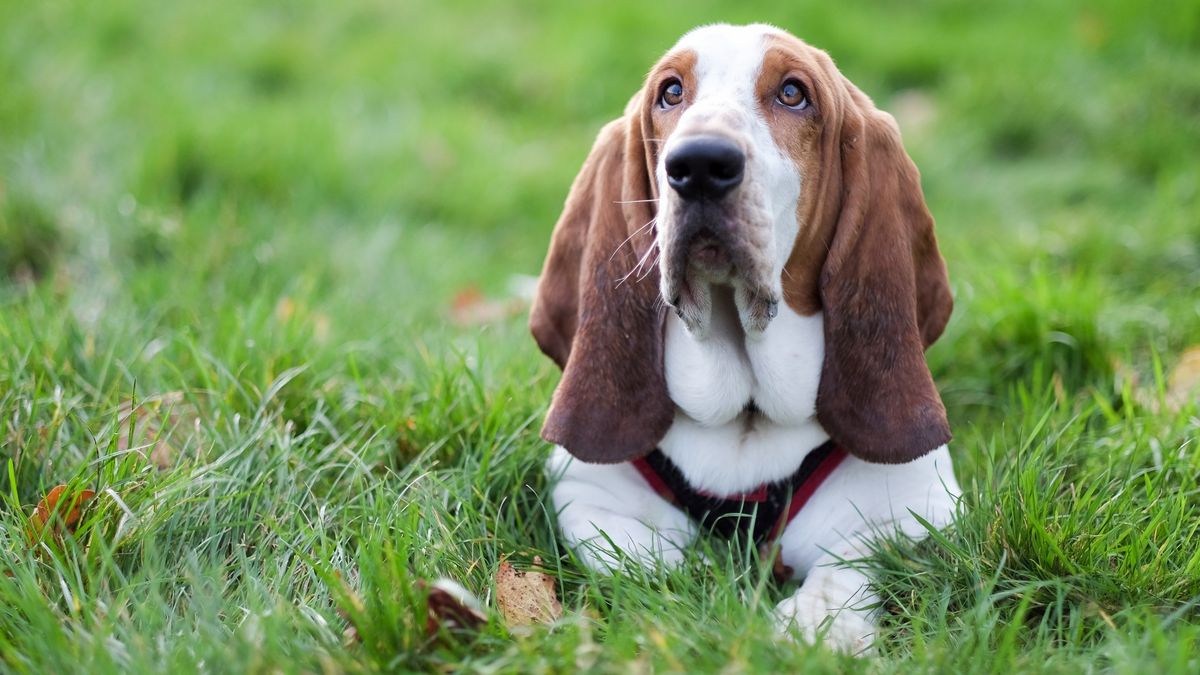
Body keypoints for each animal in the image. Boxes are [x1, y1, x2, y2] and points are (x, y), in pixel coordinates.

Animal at [530, 23, 960, 648]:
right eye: (670, 92)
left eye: (793, 93)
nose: (700, 164)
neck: (746, 418)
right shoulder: (586, 491)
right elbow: (636, 558)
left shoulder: (920, 503)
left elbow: (858, 560)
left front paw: (816, 627)